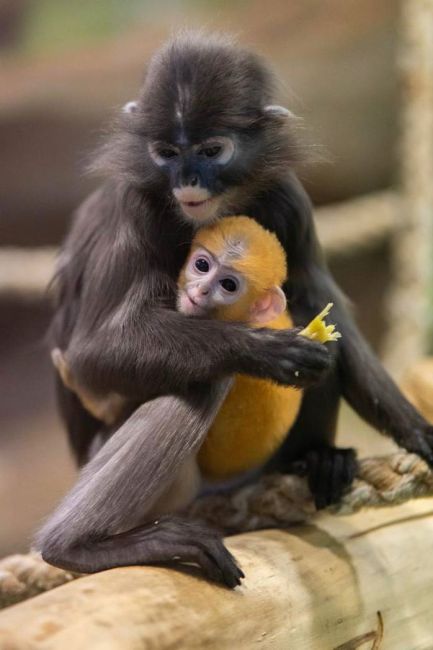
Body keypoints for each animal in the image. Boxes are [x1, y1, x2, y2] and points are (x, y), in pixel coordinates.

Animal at [36, 33, 432, 584]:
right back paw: (79, 546)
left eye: (211, 151)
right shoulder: (135, 209)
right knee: (201, 378)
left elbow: (328, 314)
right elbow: (92, 355)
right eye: (166, 153)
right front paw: (263, 350)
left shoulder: (288, 197)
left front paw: (418, 432)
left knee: (314, 323)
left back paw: (316, 459)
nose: (187, 180)